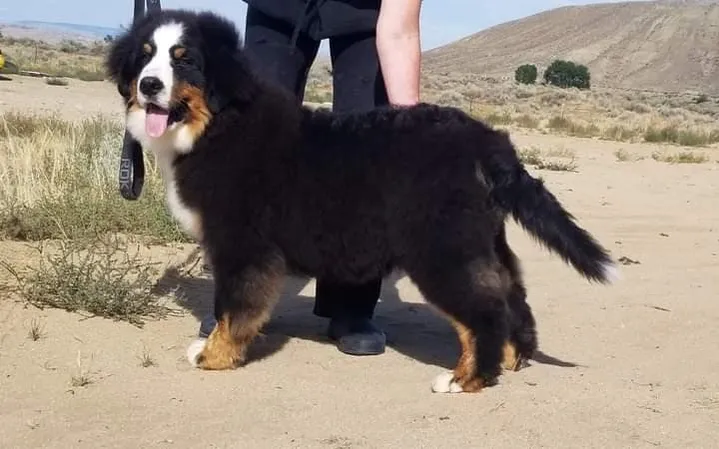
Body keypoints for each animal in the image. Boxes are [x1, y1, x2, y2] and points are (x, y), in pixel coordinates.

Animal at [107, 9, 620, 392]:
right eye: (145, 58)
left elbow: (234, 306)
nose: (148, 86)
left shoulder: (243, 246)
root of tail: (486, 141)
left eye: (185, 61)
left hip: (441, 249)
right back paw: (510, 360)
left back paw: (466, 378)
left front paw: (215, 355)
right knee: (510, 296)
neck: (222, 124)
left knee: (483, 311)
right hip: (482, 242)